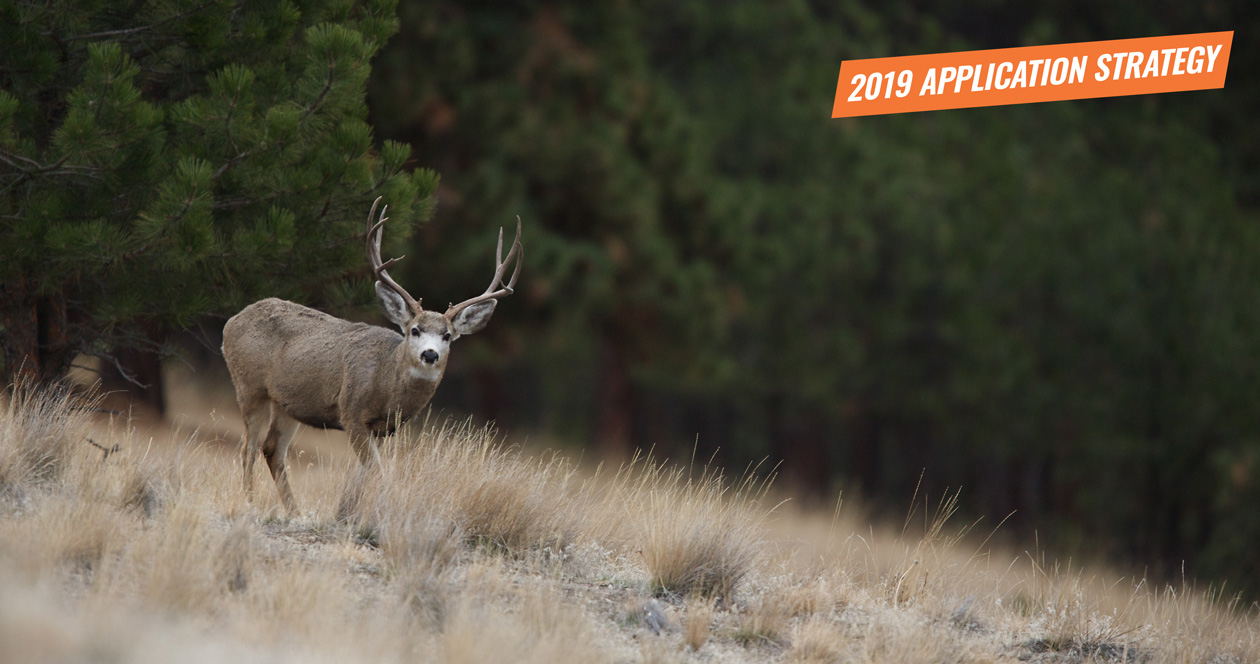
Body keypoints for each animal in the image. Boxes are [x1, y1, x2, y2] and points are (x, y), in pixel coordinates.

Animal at [221, 198, 523, 512]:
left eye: (447, 335)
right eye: (415, 330)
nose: (430, 355)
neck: (385, 384)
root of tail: (231, 321)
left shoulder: (383, 429)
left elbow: (362, 472)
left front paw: (345, 512)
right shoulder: (351, 412)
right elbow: (377, 469)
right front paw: (378, 511)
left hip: (287, 403)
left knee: (272, 449)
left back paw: (294, 511)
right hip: (250, 387)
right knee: (248, 448)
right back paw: (251, 503)